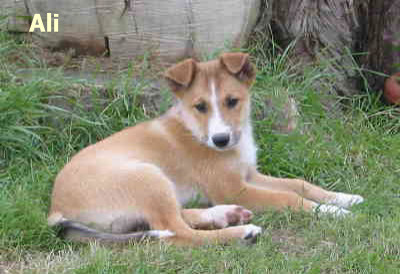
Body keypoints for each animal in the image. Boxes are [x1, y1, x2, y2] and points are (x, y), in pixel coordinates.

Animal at [48, 53, 364, 246]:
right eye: (200, 106)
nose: (220, 139)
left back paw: (224, 215)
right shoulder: (234, 188)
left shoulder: (248, 176)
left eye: (232, 101)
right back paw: (240, 231)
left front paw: (343, 198)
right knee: (178, 233)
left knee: (174, 217)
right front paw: (331, 212)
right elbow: (288, 197)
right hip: (147, 176)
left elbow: (299, 184)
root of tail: (55, 208)